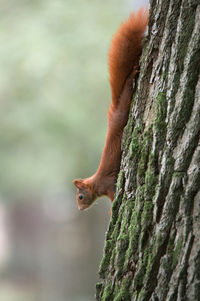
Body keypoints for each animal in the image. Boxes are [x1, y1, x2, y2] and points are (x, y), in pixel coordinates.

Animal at [73, 9, 148, 211]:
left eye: (80, 196)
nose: (80, 209)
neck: (95, 184)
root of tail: (113, 114)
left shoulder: (108, 184)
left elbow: (114, 198)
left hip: (123, 110)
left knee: (127, 89)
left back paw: (132, 75)